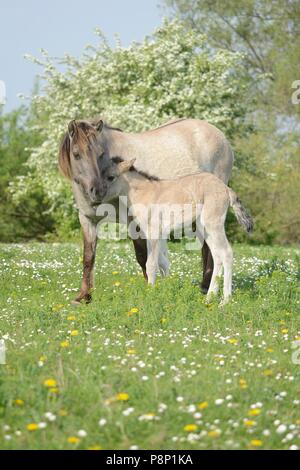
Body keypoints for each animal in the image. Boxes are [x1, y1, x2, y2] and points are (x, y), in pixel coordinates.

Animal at [58, 115, 232, 302]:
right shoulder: (87, 219)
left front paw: (150, 290)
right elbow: (88, 257)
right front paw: (83, 296)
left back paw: (207, 287)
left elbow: (143, 256)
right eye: (76, 154)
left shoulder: (134, 221)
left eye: (101, 154)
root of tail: (220, 135)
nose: (97, 191)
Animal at [101, 158, 253, 304]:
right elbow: (162, 263)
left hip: (213, 225)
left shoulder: (154, 233)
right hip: (205, 228)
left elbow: (151, 264)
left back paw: (225, 301)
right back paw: (209, 298)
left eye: (110, 177)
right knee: (217, 256)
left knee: (227, 253)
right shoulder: (155, 235)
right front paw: (165, 290)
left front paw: (150, 294)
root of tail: (226, 189)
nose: (97, 194)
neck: (145, 193)